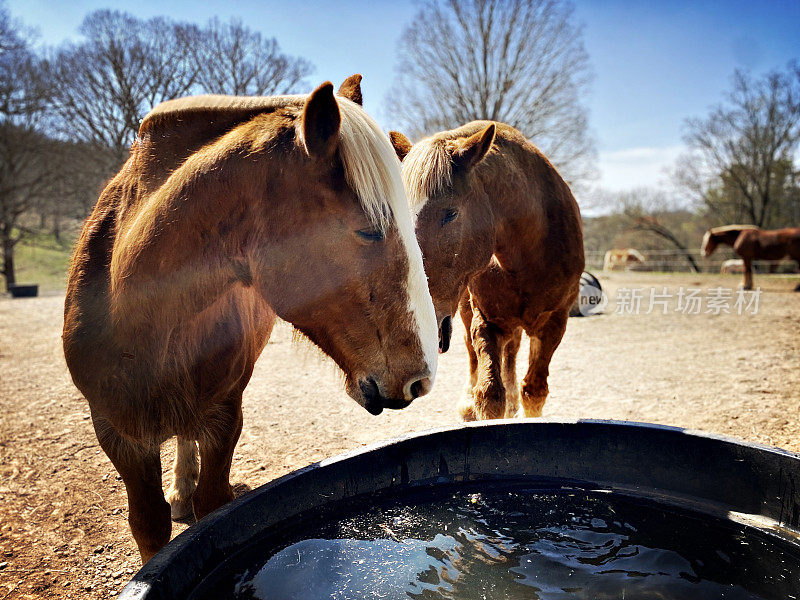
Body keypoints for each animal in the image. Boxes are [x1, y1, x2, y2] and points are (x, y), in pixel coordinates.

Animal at [62, 76, 438, 564]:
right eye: (369, 230)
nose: (421, 379)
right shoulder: (116, 434)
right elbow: (148, 523)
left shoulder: (224, 417)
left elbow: (212, 508)